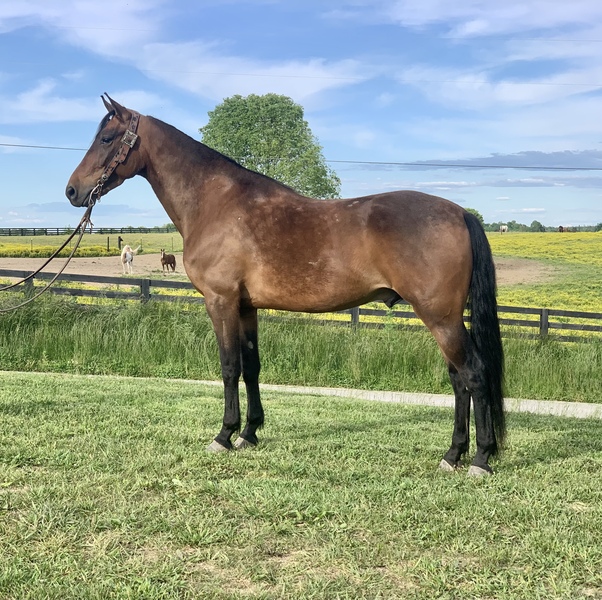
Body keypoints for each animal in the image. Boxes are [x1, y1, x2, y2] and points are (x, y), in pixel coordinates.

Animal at [65, 96, 504, 476]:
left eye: (106, 139)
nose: (72, 190)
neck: (215, 202)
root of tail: (461, 213)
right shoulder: (246, 307)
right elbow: (251, 367)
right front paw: (249, 433)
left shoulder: (220, 302)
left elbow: (229, 367)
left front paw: (223, 436)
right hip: (444, 319)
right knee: (458, 379)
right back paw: (452, 455)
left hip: (440, 317)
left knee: (473, 374)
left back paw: (480, 459)